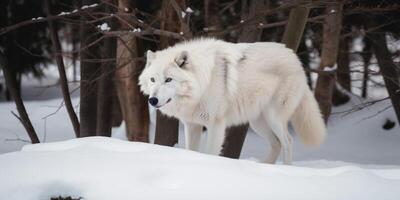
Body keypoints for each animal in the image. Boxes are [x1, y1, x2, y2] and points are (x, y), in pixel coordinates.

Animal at [139, 38, 326, 164]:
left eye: (168, 80)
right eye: (153, 80)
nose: (153, 100)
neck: (203, 82)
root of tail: (296, 61)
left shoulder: (216, 126)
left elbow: (210, 153)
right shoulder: (192, 125)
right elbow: (192, 150)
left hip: (274, 118)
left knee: (288, 141)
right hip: (258, 123)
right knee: (276, 144)